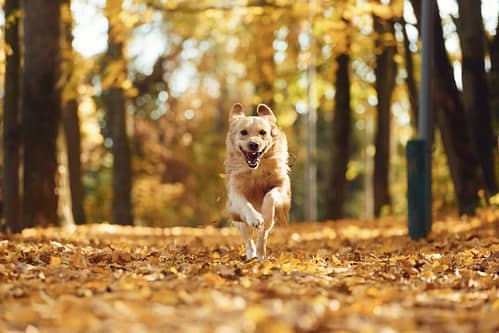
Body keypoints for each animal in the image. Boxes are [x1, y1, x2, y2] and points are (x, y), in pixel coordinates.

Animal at [225, 102, 292, 258]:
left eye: (263, 132)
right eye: (243, 132)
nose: (253, 144)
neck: (255, 171)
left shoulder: (282, 187)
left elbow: (270, 196)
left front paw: (264, 215)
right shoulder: (235, 193)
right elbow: (245, 204)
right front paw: (255, 217)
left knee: (263, 234)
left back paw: (261, 254)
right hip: (241, 224)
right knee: (248, 239)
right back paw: (252, 255)